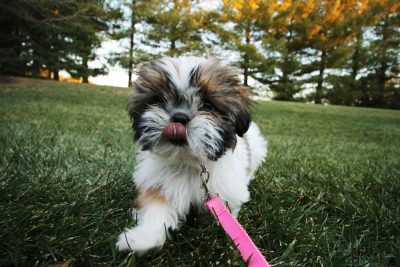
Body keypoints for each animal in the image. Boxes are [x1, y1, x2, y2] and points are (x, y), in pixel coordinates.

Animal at [115, 57, 268, 255]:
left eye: (208, 105)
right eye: (158, 100)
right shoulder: (158, 183)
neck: (188, 162)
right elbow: (155, 207)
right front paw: (142, 238)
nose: (179, 117)